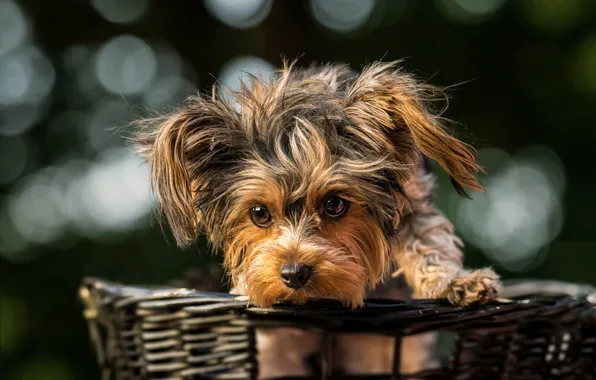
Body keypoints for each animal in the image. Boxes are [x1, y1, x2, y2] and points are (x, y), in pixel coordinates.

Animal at [133, 60, 500, 378]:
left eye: (334, 204)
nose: (293, 274)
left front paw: (457, 282)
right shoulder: (274, 344)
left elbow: (429, 243)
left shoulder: (412, 197)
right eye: (259, 213)